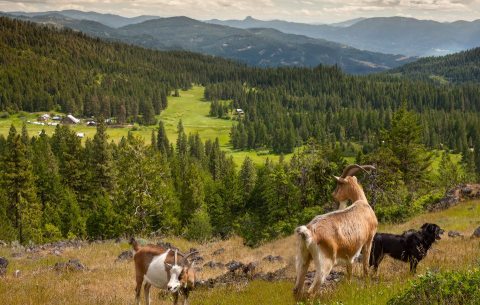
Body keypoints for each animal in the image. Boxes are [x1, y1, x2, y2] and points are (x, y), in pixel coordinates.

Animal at [292, 164, 378, 296]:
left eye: (339, 184)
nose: (333, 195)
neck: (362, 203)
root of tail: (309, 231)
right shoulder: (369, 240)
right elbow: (365, 267)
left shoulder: (349, 254)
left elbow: (349, 272)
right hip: (325, 263)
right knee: (311, 291)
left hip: (303, 258)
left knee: (297, 289)